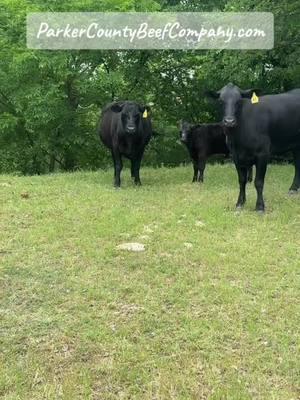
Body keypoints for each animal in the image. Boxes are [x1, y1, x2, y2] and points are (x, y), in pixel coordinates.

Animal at [207, 83, 300, 212]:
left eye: (239, 101)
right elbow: (242, 180)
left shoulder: (263, 154)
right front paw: (240, 203)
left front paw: (260, 206)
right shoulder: (236, 156)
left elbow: (258, 182)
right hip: (295, 145)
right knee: (298, 165)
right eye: (220, 101)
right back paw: (293, 189)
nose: (229, 121)